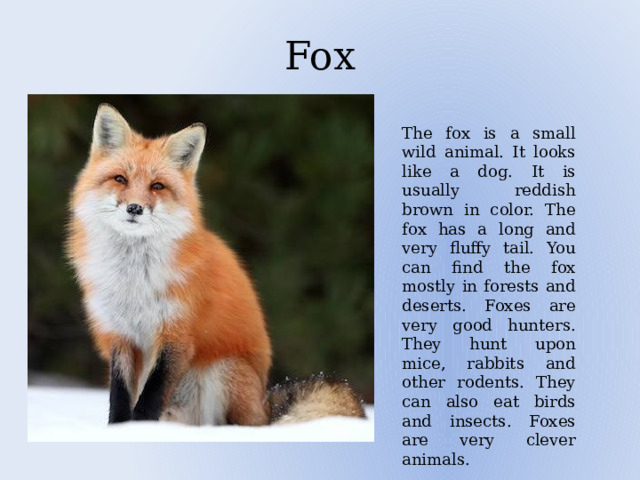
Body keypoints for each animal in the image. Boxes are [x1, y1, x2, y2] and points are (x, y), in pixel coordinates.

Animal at [67, 104, 365, 426]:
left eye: (157, 186)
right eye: (120, 179)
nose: (135, 208)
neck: (134, 281)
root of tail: (264, 406)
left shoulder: (176, 335)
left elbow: (150, 399)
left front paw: (142, 428)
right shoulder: (119, 335)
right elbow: (119, 399)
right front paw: (119, 430)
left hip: (223, 370)